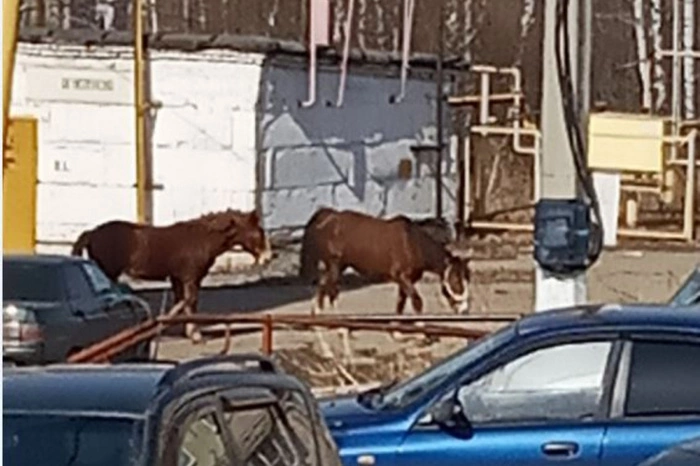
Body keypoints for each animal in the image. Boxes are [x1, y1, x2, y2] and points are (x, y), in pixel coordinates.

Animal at [71, 209, 272, 343]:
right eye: (259, 232)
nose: (268, 257)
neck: (203, 239)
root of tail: (92, 233)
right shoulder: (191, 278)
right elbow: (190, 303)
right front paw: (194, 334)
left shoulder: (177, 279)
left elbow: (183, 302)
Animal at [299, 207, 472, 360]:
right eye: (455, 279)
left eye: (467, 278)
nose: (464, 309)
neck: (412, 244)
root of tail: (325, 217)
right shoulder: (402, 277)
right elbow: (417, 302)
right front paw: (425, 335)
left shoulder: (405, 281)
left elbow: (401, 303)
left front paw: (396, 332)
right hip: (334, 267)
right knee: (331, 294)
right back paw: (343, 339)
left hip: (335, 269)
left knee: (320, 296)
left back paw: (324, 346)